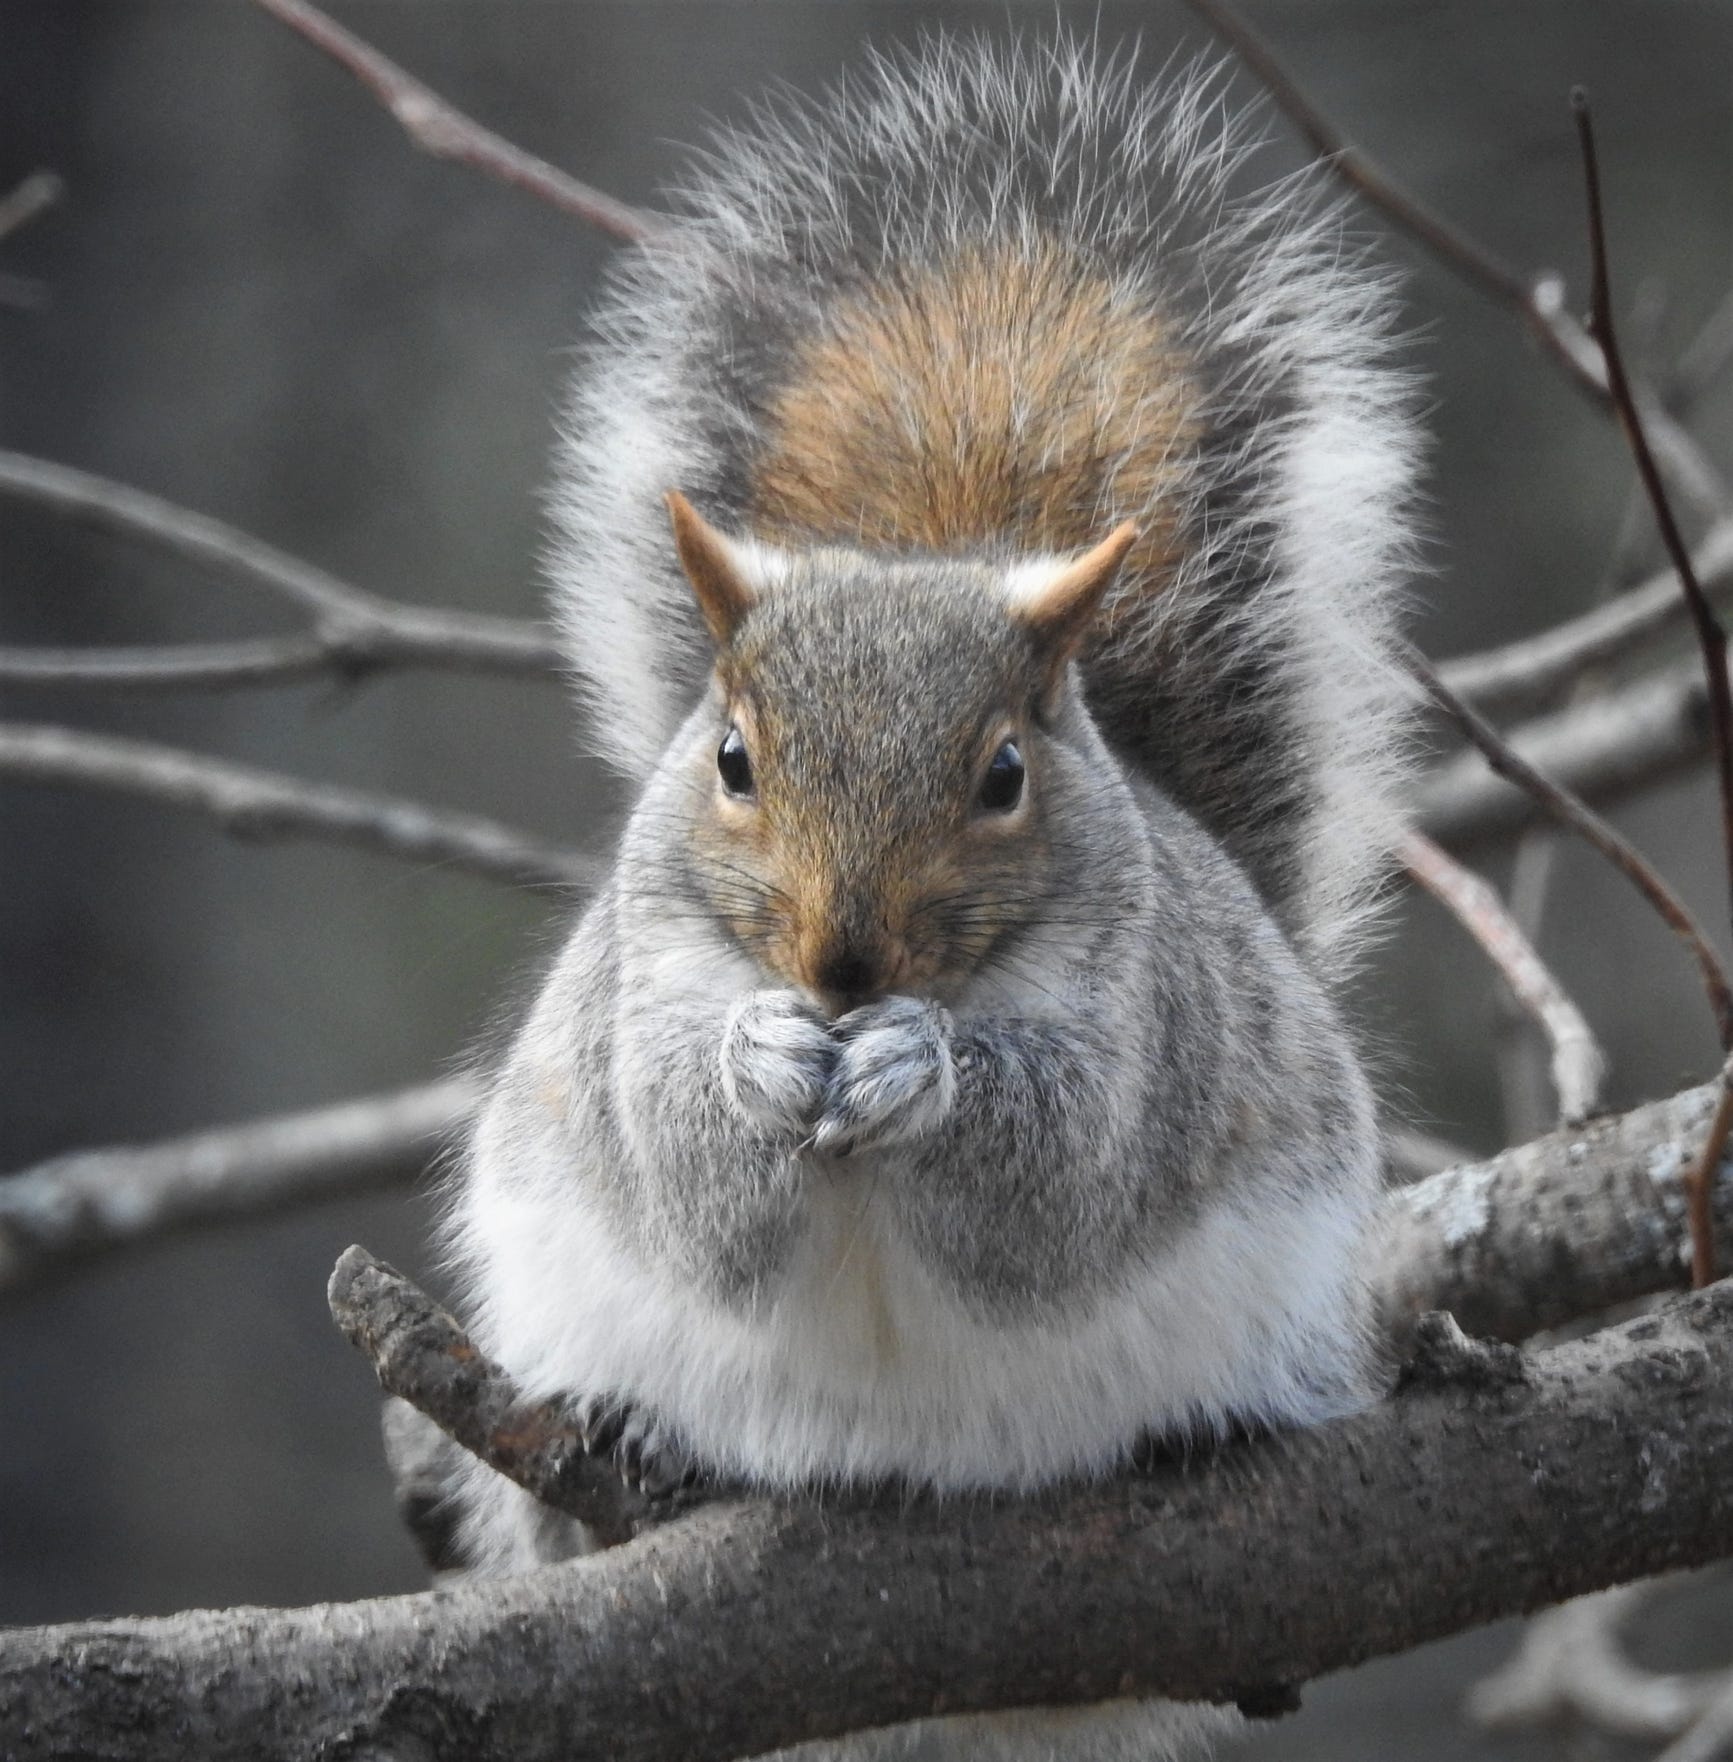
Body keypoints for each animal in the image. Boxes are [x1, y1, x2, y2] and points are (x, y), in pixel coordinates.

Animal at [443, 33, 1416, 1762]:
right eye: (733, 758)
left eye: (1005, 774)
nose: (841, 968)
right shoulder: (637, 993)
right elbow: (690, 1174)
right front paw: (762, 1065)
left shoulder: (1147, 1026)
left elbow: (1052, 1187)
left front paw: (922, 1071)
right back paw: (622, 1440)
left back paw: (1204, 1431)